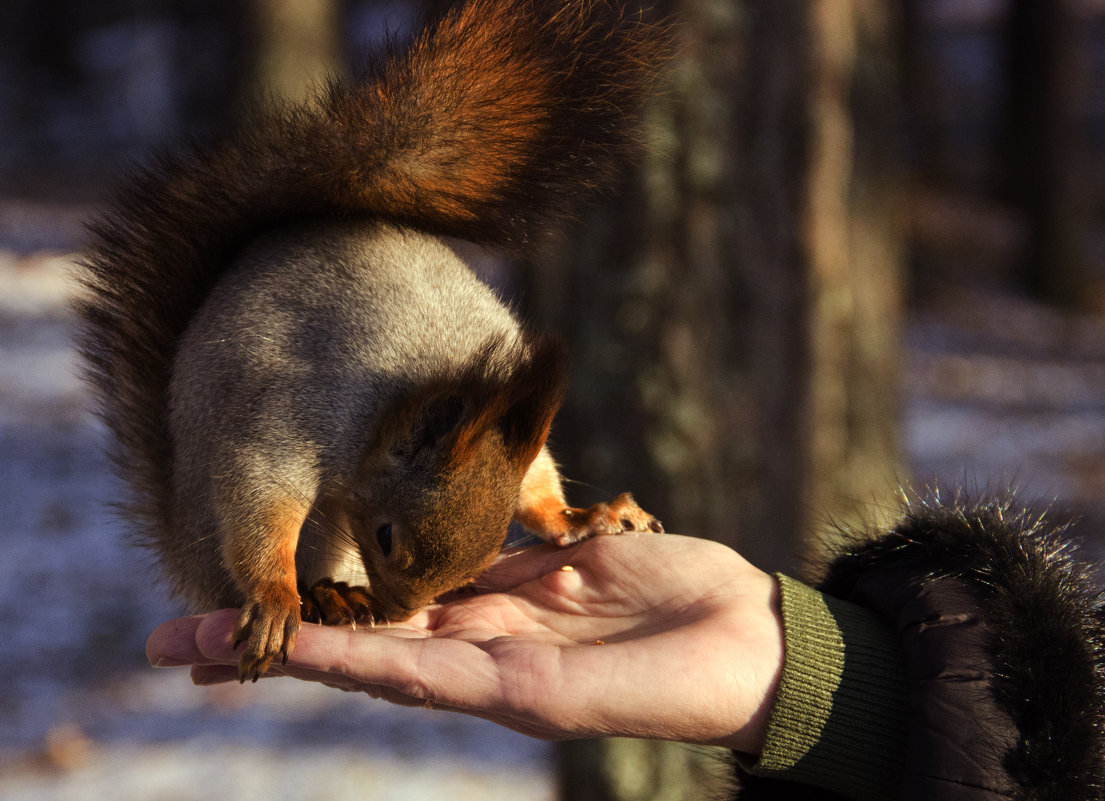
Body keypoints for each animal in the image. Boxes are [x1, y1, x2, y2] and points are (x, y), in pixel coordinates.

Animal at [77, 0, 667, 680]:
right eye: (385, 536)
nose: (398, 614)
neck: (430, 378)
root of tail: (188, 563)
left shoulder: (511, 415)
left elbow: (535, 479)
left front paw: (579, 517)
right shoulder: (295, 418)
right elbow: (258, 499)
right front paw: (275, 598)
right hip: (281, 533)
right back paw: (324, 596)